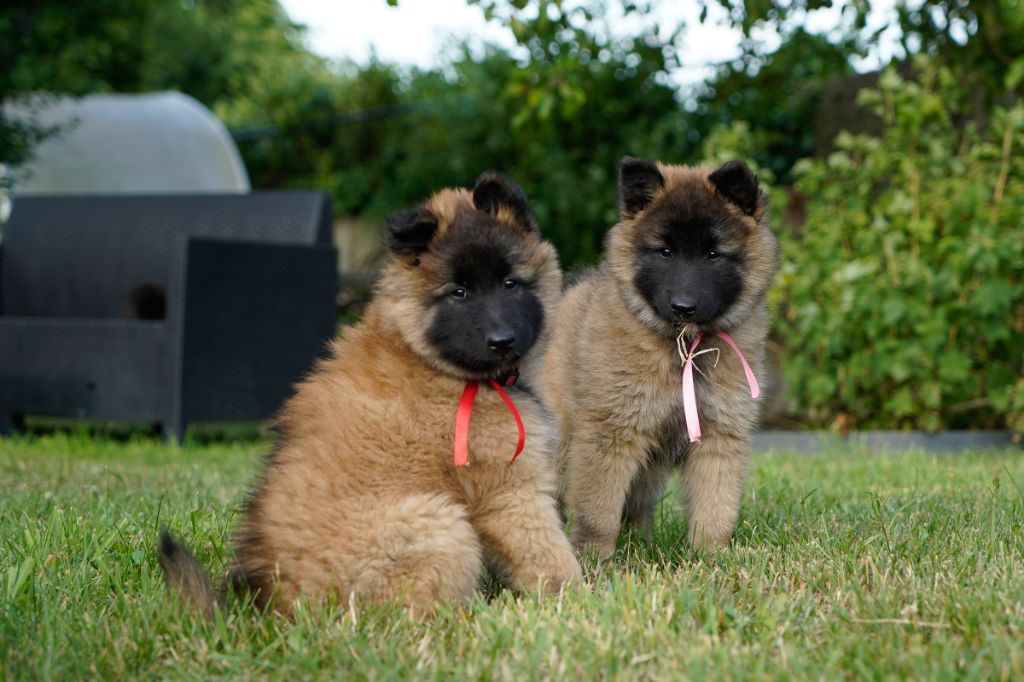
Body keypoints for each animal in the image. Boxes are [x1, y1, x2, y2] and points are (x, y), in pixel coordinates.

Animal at [155, 173, 581, 614]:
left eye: (511, 283)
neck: (428, 358)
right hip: (437, 522)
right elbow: (547, 553)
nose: (501, 341)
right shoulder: (509, 491)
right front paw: (579, 598)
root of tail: (272, 606)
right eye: (458, 293)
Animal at [544, 157, 774, 557]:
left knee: (638, 506)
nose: (683, 306)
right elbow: (598, 510)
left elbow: (715, 506)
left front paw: (710, 556)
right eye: (664, 252)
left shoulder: (720, 435)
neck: (685, 346)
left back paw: (640, 543)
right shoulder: (611, 432)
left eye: (713, 254)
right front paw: (593, 558)